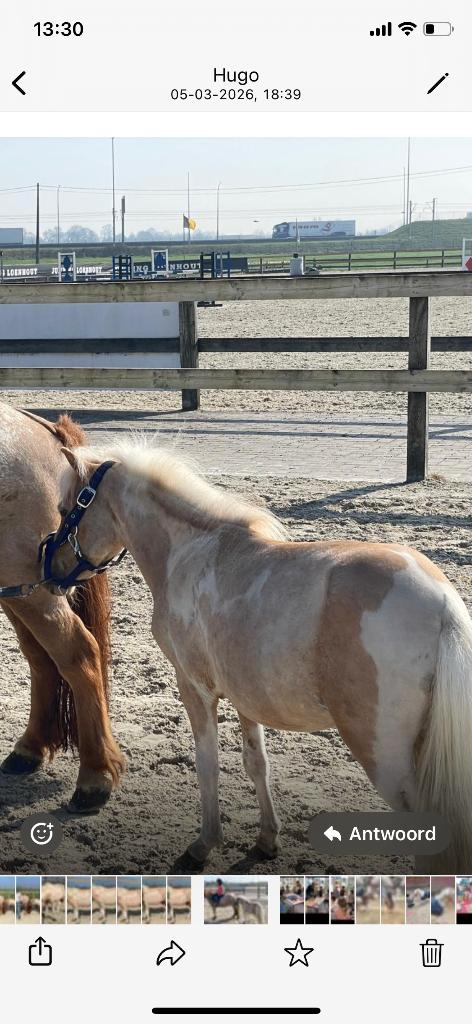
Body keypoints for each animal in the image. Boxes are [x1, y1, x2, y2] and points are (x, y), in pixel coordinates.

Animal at [0, 403, 124, 813]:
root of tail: (46, 431)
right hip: (20, 592)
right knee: (42, 659)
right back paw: (29, 748)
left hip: (34, 593)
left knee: (78, 654)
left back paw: (94, 778)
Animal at [51, 436, 472, 873]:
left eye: (66, 510)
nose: (51, 569)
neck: (188, 552)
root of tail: (442, 604)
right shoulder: (245, 697)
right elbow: (256, 763)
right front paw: (267, 840)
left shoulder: (195, 688)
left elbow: (208, 765)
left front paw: (203, 845)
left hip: (384, 756)